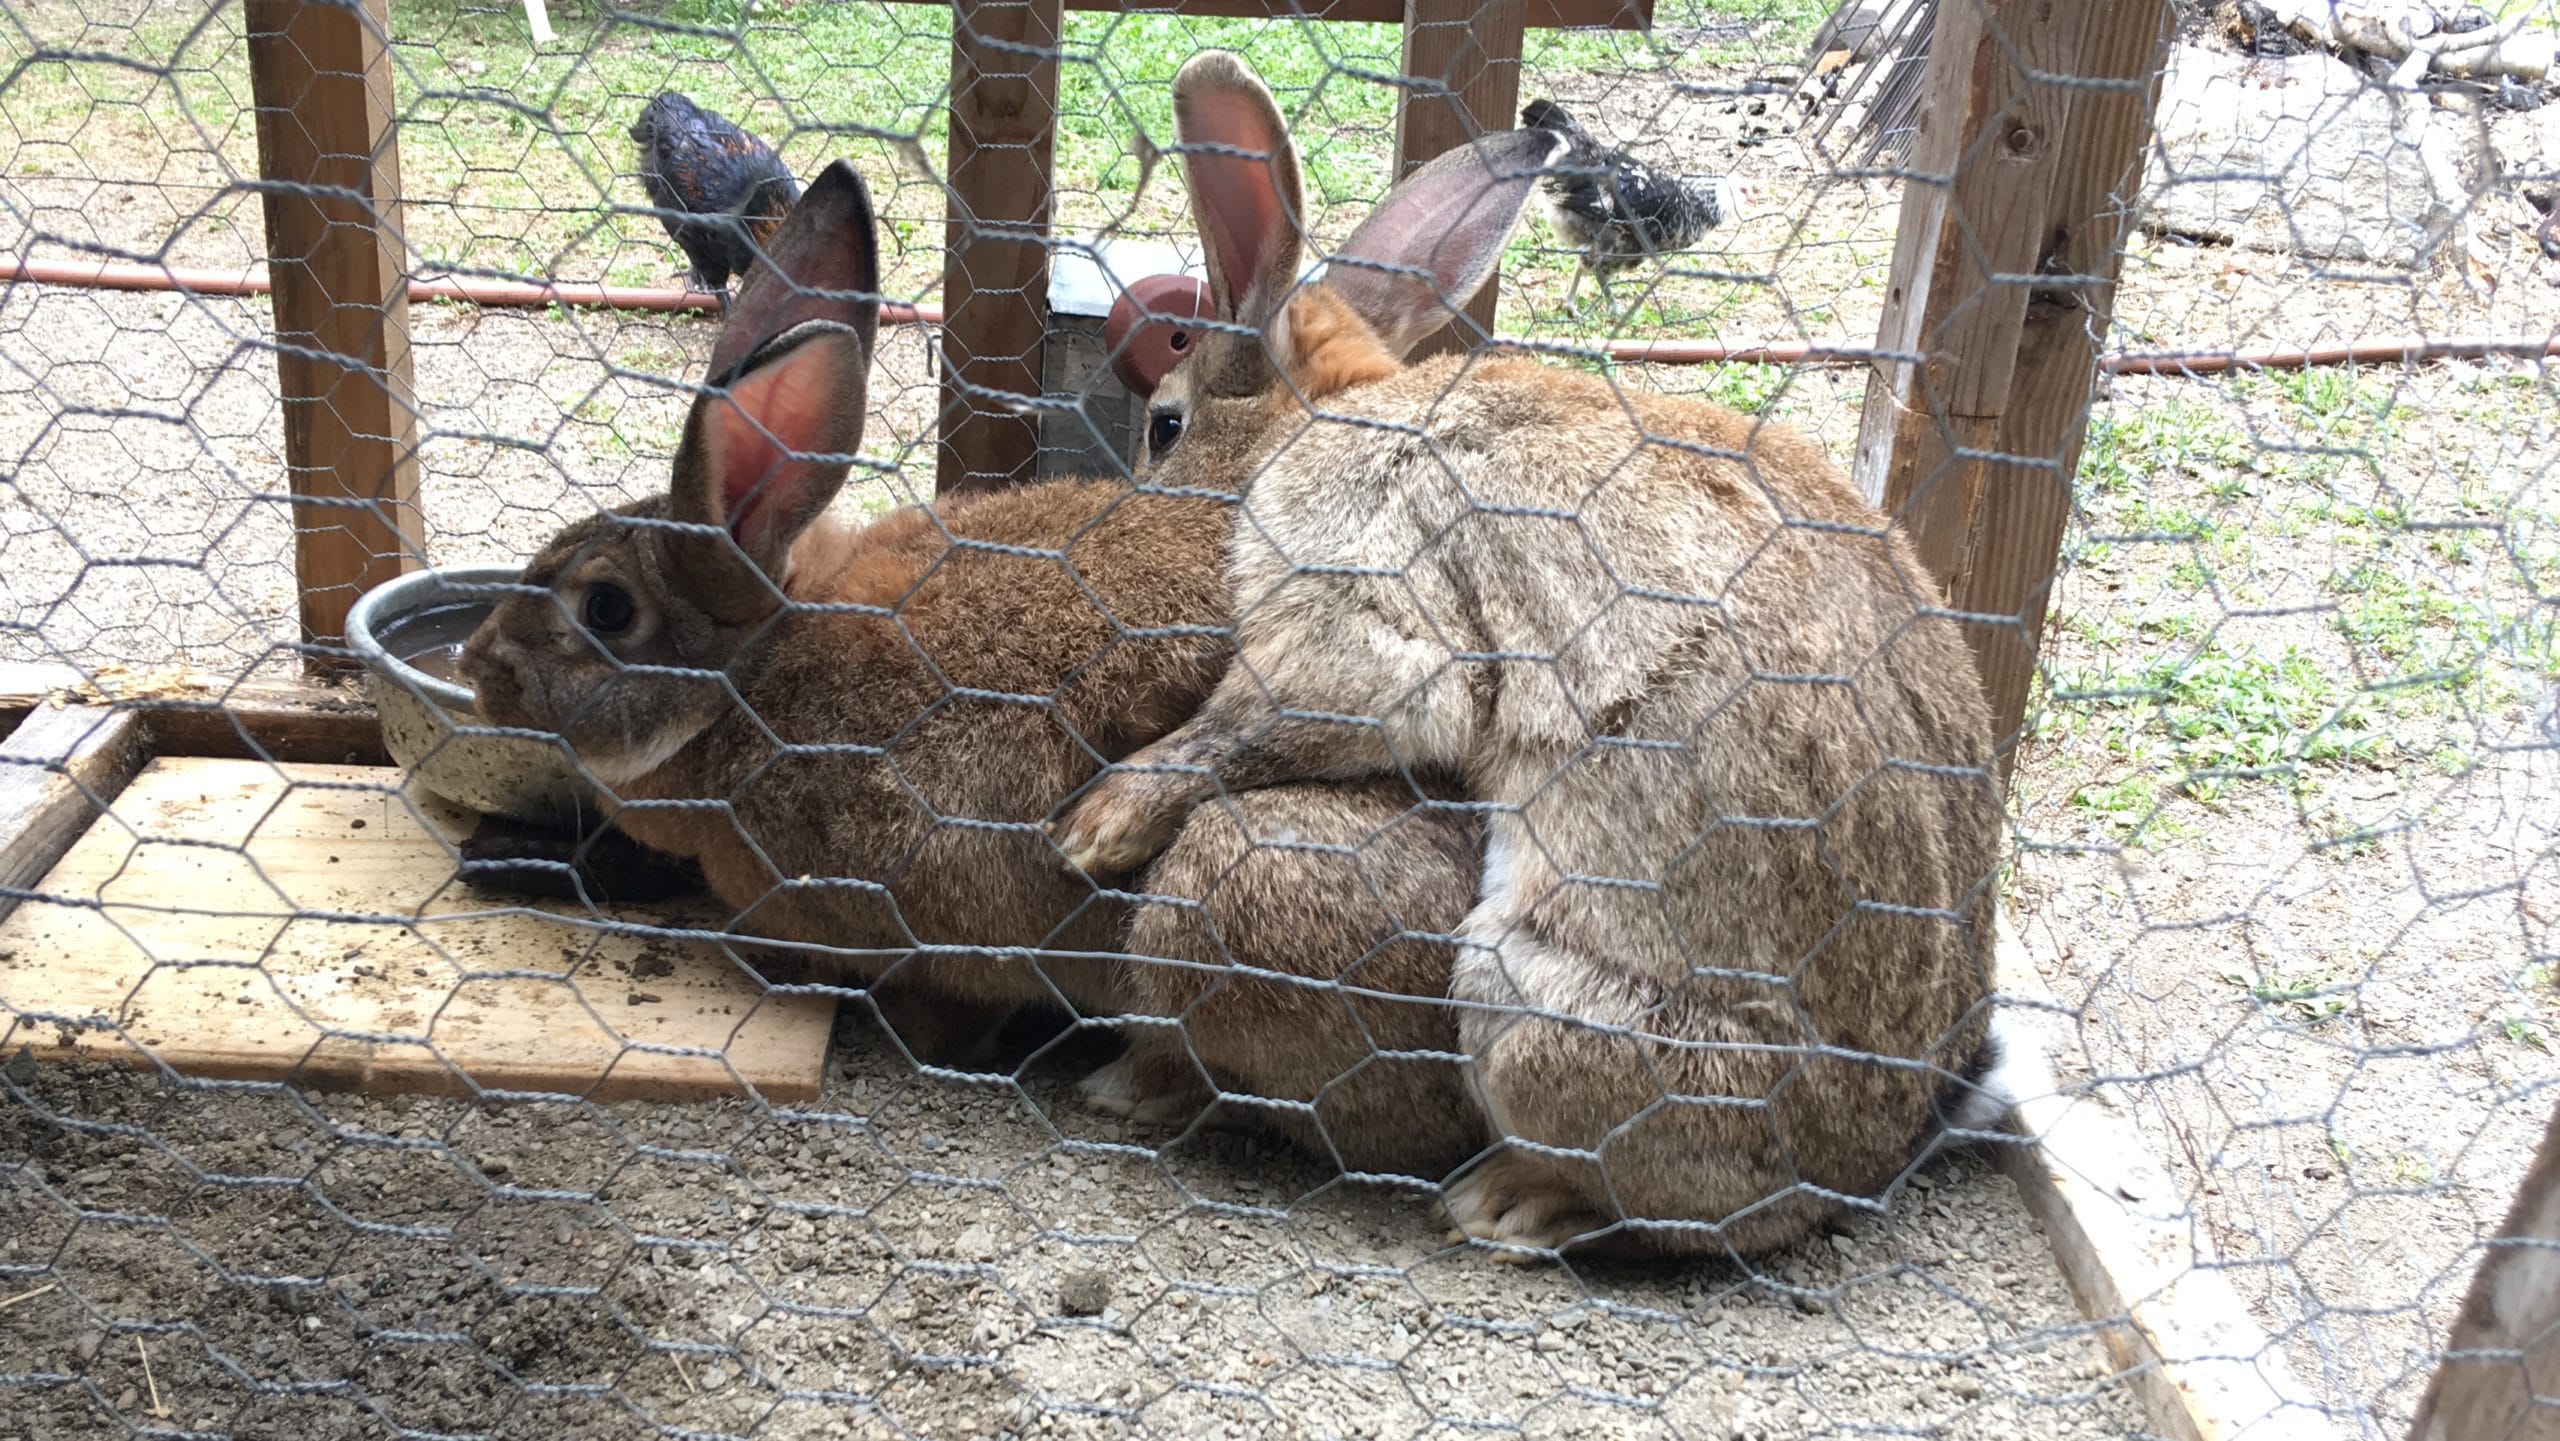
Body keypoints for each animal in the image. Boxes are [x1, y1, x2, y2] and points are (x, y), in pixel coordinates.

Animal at [1049, 50, 2007, 1259]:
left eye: (1166, 423)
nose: (1142, 486)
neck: (1330, 416)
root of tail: (1861, 1164)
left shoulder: (1359, 619)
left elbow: (1247, 725)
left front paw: (1094, 828)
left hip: (1533, 1005)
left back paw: (1502, 1202)